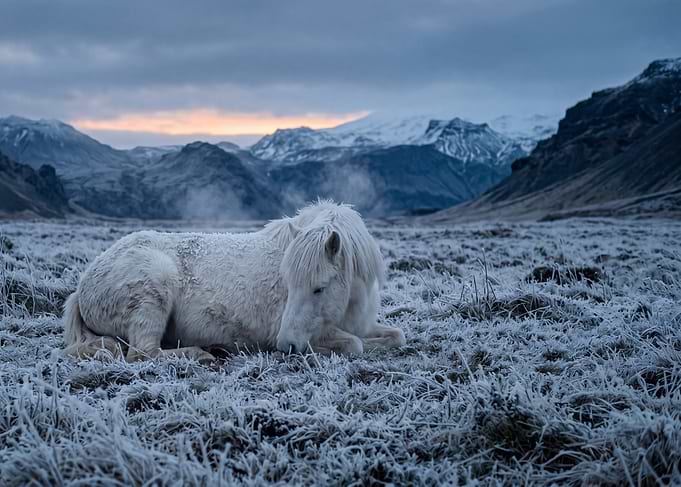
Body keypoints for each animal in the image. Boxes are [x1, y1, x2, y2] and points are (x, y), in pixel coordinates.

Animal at [62, 200, 406, 363]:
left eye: (319, 288)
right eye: (289, 285)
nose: (287, 346)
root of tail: (83, 286)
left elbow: (395, 336)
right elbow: (354, 345)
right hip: (153, 291)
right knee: (143, 353)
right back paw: (202, 354)